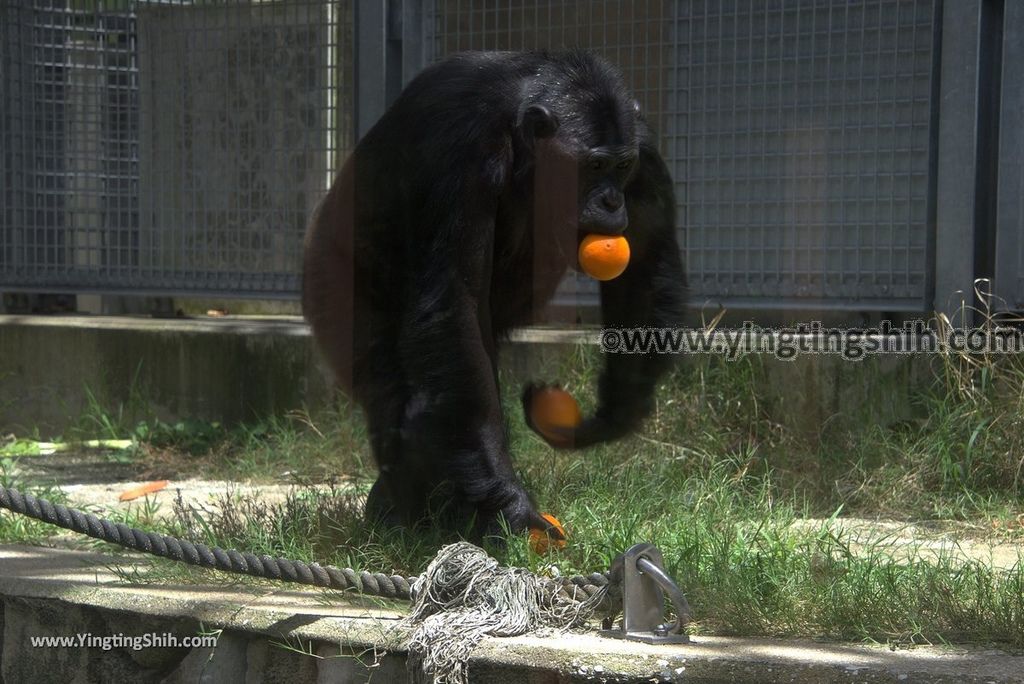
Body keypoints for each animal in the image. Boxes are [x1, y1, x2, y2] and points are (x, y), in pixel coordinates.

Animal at [303, 49, 688, 540]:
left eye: (621, 167)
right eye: (594, 166)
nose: (611, 201)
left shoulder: (644, 149)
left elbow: (644, 264)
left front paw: (610, 414)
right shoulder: (458, 148)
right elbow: (455, 303)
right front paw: (510, 506)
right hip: (329, 281)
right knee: (395, 388)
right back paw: (404, 514)